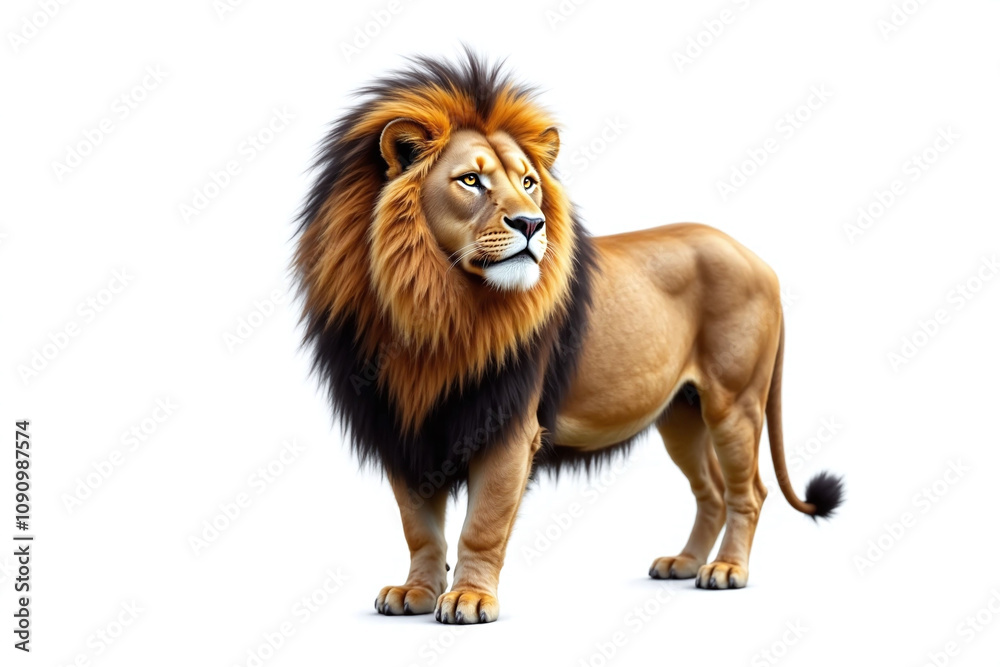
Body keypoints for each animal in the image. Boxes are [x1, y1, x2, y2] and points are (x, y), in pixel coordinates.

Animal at [294, 51, 843, 624]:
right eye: (471, 180)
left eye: (529, 182)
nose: (532, 224)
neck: (433, 306)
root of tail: (758, 259)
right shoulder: (401, 425)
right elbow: (418, 528)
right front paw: (416, 593)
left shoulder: (508, 425)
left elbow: (483, 524)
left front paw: (470, 598)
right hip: (681, 413)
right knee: (710, 491)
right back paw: (685, 564)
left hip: (733, 401)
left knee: (749, 491)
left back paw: (727, 570)